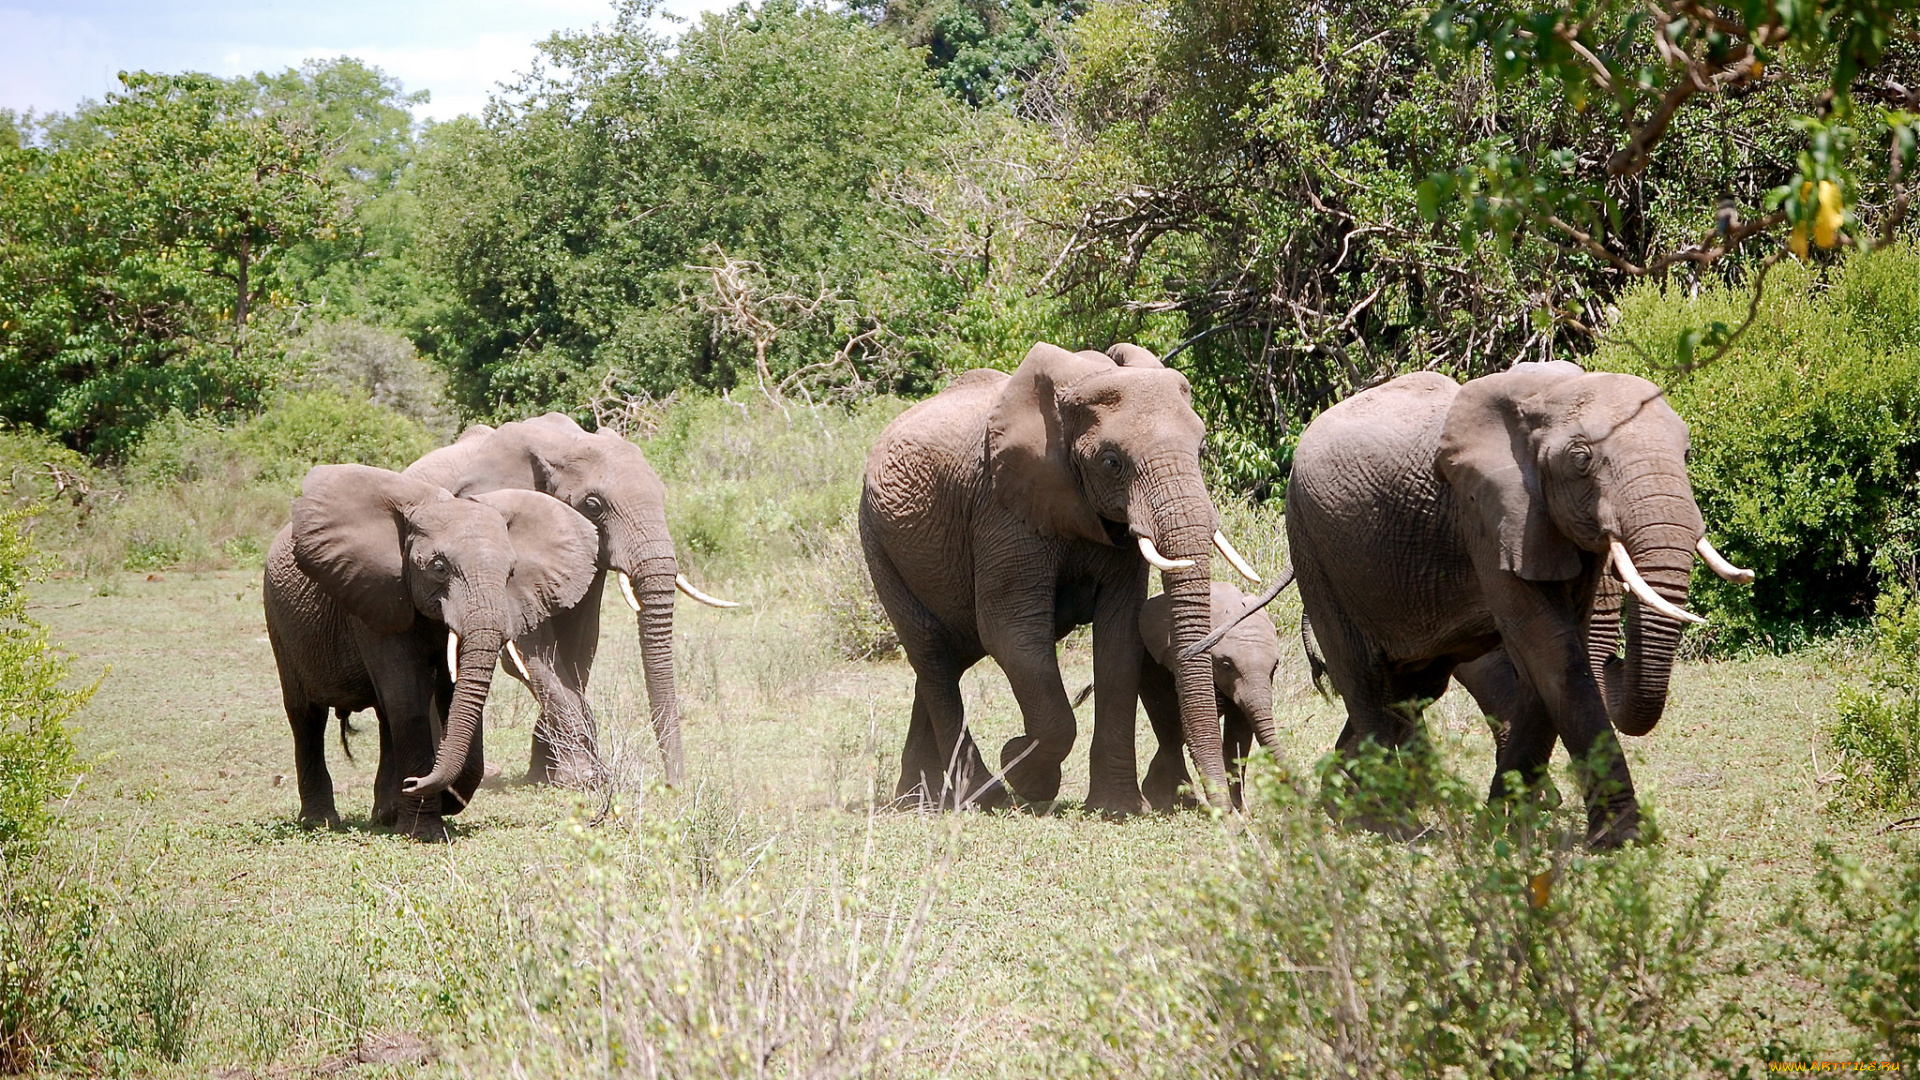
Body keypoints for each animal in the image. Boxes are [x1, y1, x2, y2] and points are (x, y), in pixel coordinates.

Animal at [259, 457, 595, 837]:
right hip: (279, 620)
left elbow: (448, 696)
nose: (415, 784)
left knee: (383, 715)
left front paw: (430, 801)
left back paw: (385, 814)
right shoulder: (377, 595)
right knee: (306, 715)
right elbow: (407, 697)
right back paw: (320, 821)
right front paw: (424, 831)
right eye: (439, 568)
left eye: (511, 573)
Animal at [405, 409, 733, 780]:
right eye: (593, 505)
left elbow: (580, 644)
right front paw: (581, 776)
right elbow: (528, 653)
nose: (674, 782)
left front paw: (551, 774)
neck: (565, 444)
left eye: (662, 496)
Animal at [864, 338, 1267, 807]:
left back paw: (918, 800)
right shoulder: (1003, 511)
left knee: (951, 654)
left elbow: (1120, 639)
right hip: (878, 543)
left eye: (1201, 449)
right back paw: (983, 796)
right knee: (932, 654)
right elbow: (1012, 632)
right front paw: (1023, 771)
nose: (1226, 813)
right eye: (1111, 462)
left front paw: (1118, 810)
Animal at [1198, 359, 1758, 841]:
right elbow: (1550, 650)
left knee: (1408, 692)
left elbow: (1548, 661)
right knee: (1367, 684)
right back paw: (1383, 825)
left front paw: (1505, 822)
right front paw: (1620, 839)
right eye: (1581, 460)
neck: (1553, 393)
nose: (1619, 661)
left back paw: (1346, 806)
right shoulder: (1489, 516)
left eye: (1686, 454)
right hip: (1317, 551)